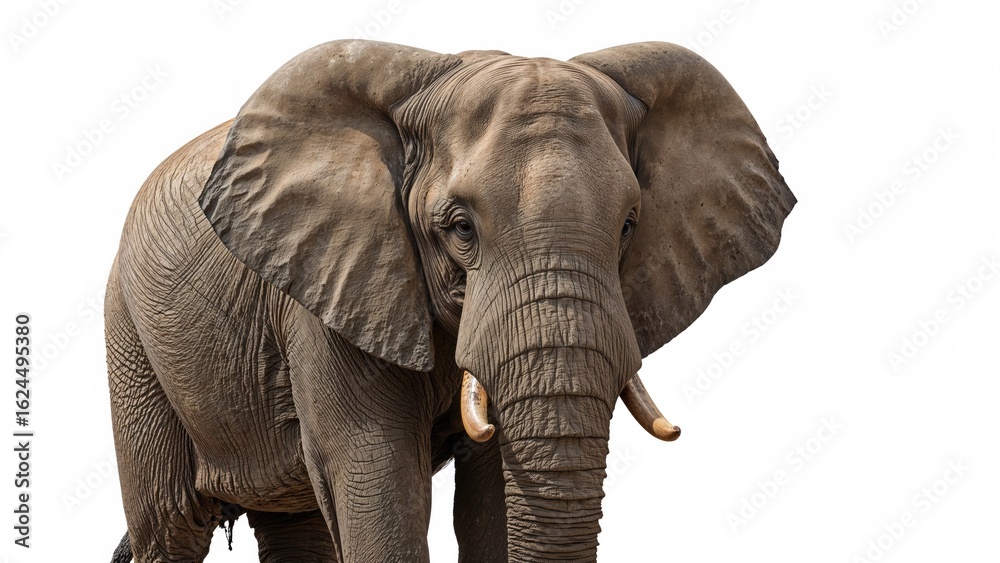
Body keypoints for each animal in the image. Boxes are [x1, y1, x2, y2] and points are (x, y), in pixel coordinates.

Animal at [105, 39, 794, 562]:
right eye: (461, 228)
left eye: (628, 227)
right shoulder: (329, 291)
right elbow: (378, 476)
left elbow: (492, 498)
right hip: (130, 339)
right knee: (172, 528)